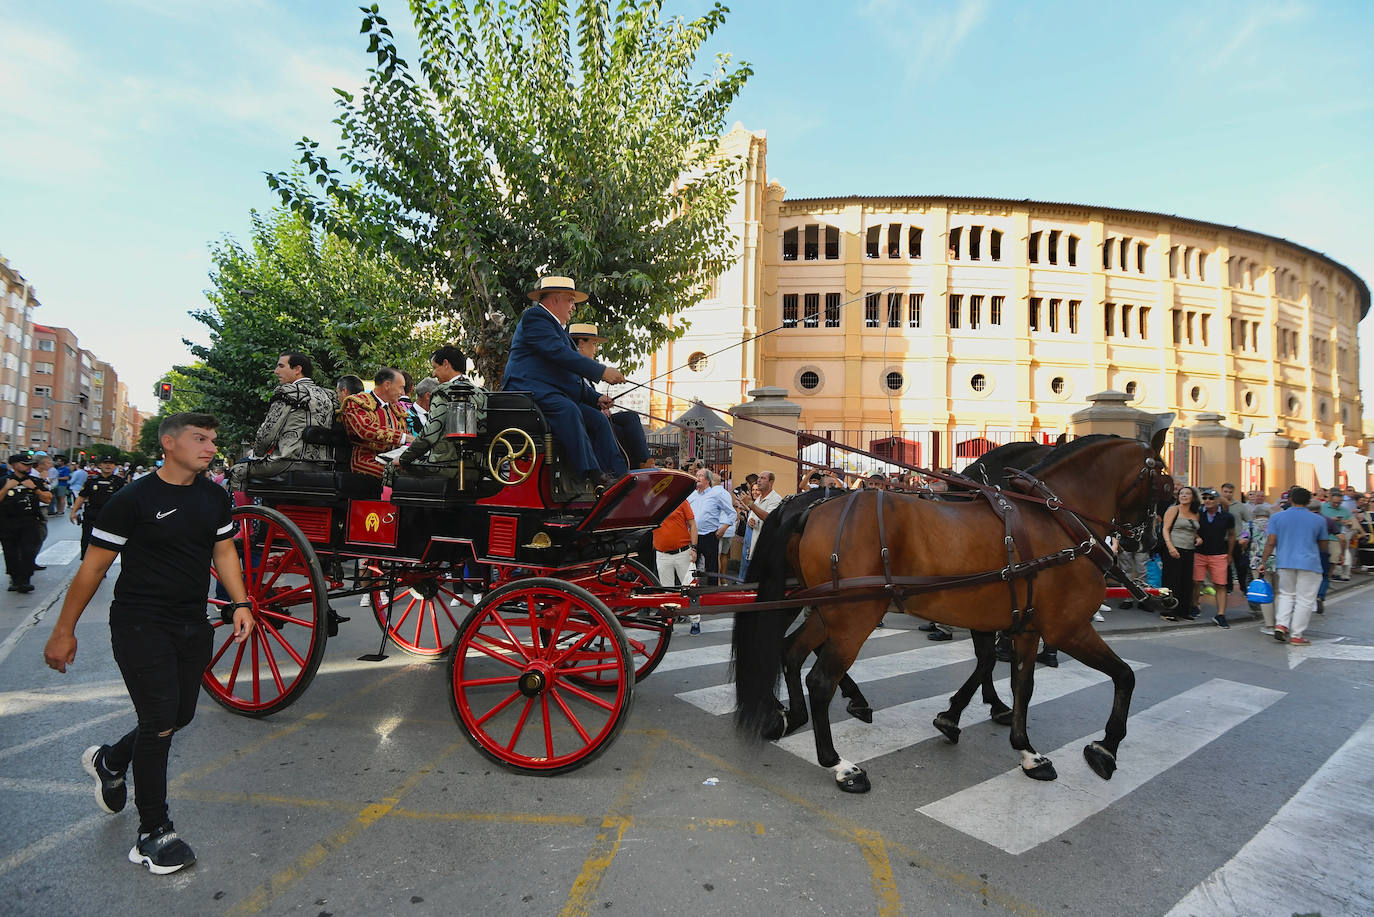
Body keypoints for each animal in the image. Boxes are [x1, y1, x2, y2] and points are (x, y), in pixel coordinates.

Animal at [736, 426, 1176, 791]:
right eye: (1166, 485)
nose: (1147, 541)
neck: (1056, 520)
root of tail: (810, 508)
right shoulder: (1067, 628)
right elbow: (1124, 675)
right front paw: (1105, 748)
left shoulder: (1024, 627)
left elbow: (1021, 683)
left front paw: (1024, 749)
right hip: (853, 619)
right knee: (821, 680)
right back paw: (839, 764)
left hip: (828, 611)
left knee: (792, 652)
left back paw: (793, 715)